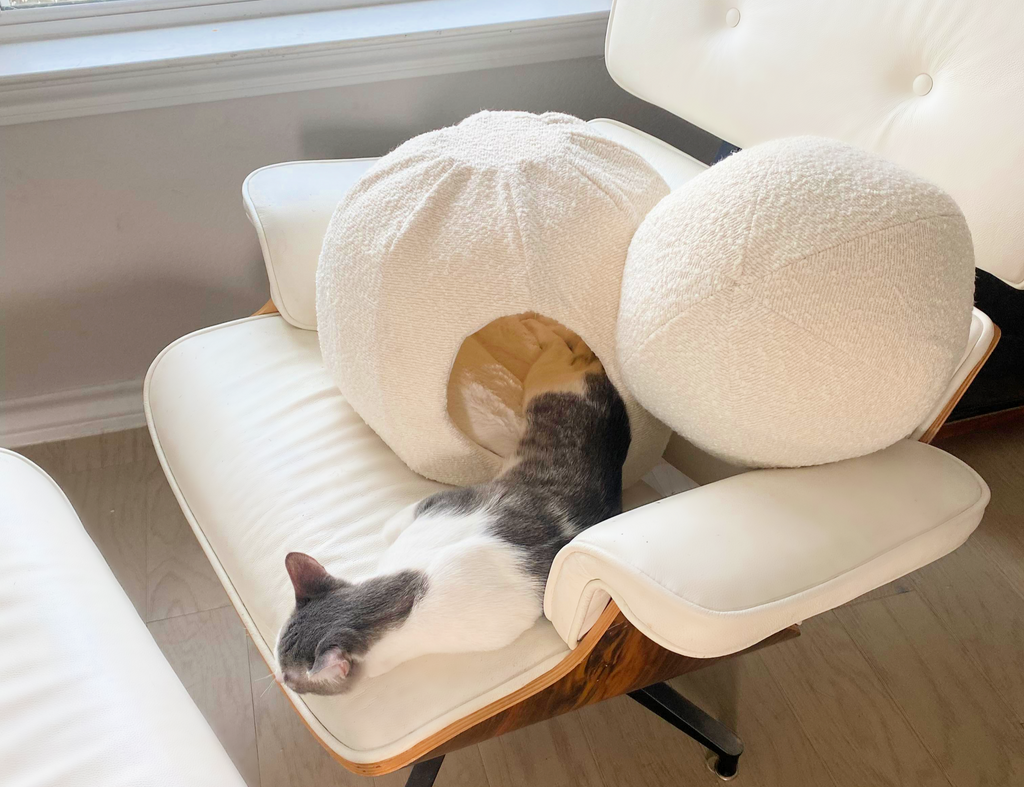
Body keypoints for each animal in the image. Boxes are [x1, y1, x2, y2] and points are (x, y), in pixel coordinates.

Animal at [276, 339, 634, 691]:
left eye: (288, 675)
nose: (280, 679)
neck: (401, 585)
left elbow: (385, 529)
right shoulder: (440, 506)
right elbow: (391, 528)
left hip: (544, 379)